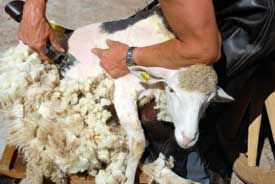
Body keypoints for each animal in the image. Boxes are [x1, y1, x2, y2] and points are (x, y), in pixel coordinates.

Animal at [63, 6, 234, 184]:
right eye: (172, 90)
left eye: (209, 100)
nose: (188, 139)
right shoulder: (123, 92)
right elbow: (139, 142)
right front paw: (128, 178)